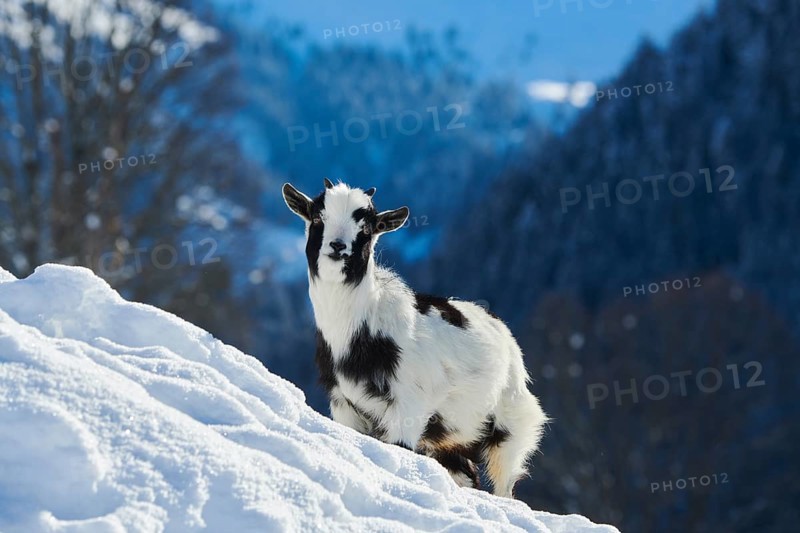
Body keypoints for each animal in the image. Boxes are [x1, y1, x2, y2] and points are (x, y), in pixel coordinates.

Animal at [282, 179, 548, 497]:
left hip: (509, 429)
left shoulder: (409, 407)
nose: (338, 247)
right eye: (318, 218)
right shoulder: (344, 405)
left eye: (367, 228)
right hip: (452, 437)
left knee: (504, 484)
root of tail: (506, 336)